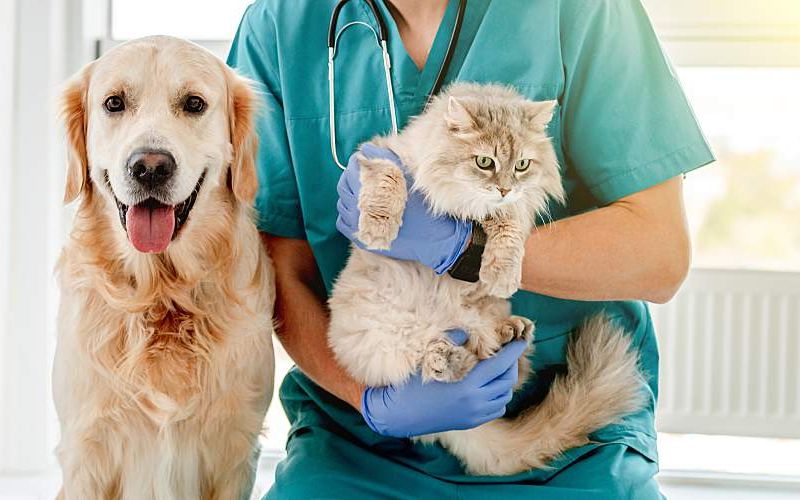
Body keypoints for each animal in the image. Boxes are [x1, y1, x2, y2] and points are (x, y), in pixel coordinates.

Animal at [54, 36, 276, 500]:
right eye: (114, 103)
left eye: (194, 104)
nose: (150, 167)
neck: (161, 294)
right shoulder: (86, 449)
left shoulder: (234, 451)